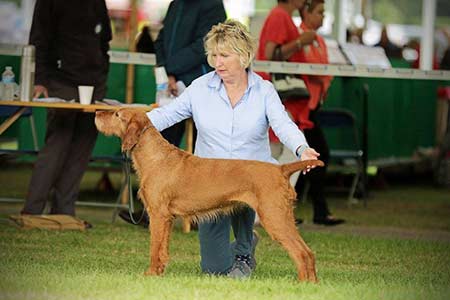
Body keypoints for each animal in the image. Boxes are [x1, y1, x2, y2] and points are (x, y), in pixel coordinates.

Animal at [95, 109, 324, 282]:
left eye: (117, 114)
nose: (97, 112)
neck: (155, 157)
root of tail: (281, 169)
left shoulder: (158, 215)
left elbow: (154, 247)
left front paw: (150, 274)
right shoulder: (167, 218)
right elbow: (163, 250)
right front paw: (159, 273)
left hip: (274, 217)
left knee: (300, 251)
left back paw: (302, 283)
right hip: (282, 217)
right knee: (308, 251)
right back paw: (312, 283)